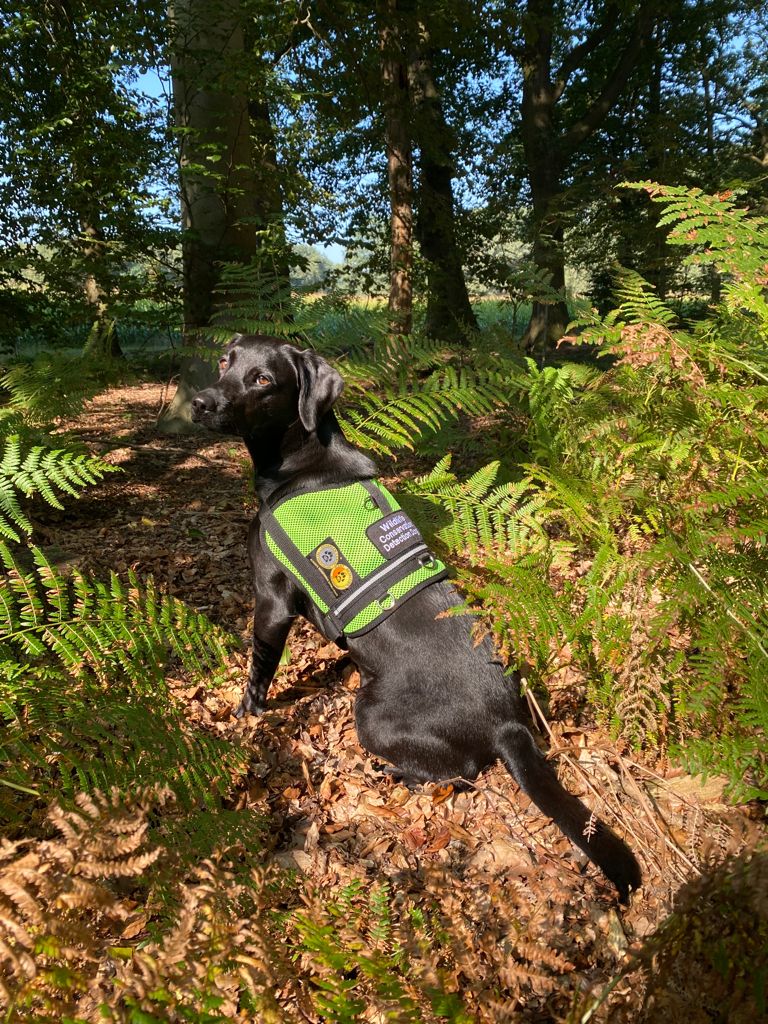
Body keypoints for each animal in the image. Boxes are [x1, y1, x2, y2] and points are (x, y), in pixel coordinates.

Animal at [192, 331, 643, 901]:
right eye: (225, 361)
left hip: (371, 713)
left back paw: (395, 774)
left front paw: (245, 718)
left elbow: (258, 672)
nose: (201, 402)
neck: (301, 460)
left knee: (464, 771)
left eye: (262, 379)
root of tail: (509, 723)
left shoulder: (270, 602)